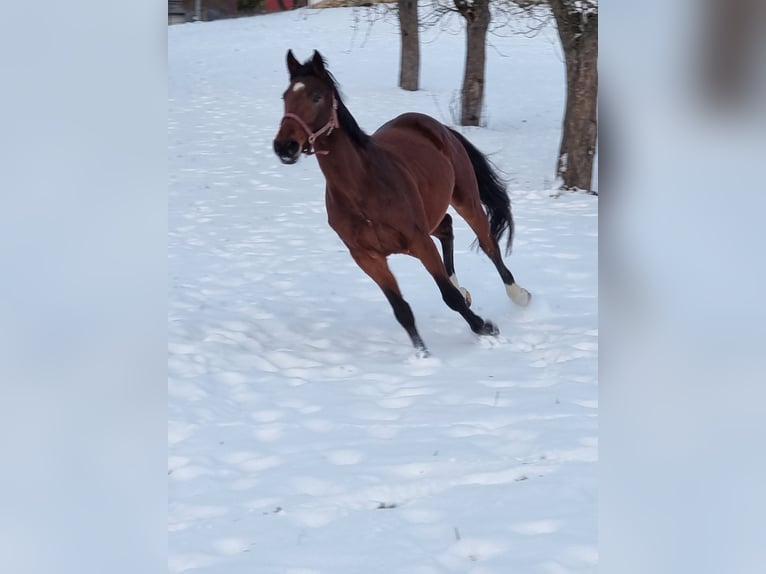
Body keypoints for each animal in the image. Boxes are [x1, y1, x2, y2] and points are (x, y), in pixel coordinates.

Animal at [273, 50, 530, 356]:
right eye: (285, 97)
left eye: (316, 96)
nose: (284, 147)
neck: (362, 189)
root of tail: (435, 126)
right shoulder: (366, 257)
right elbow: (401, 309)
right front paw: (422, 354)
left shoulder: (419, 241)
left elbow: (449, 297)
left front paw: (485, 328)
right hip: (433, 212)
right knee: (447, 227)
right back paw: (465, 288)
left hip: (465, 199)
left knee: (489, 245)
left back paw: (519, 295)